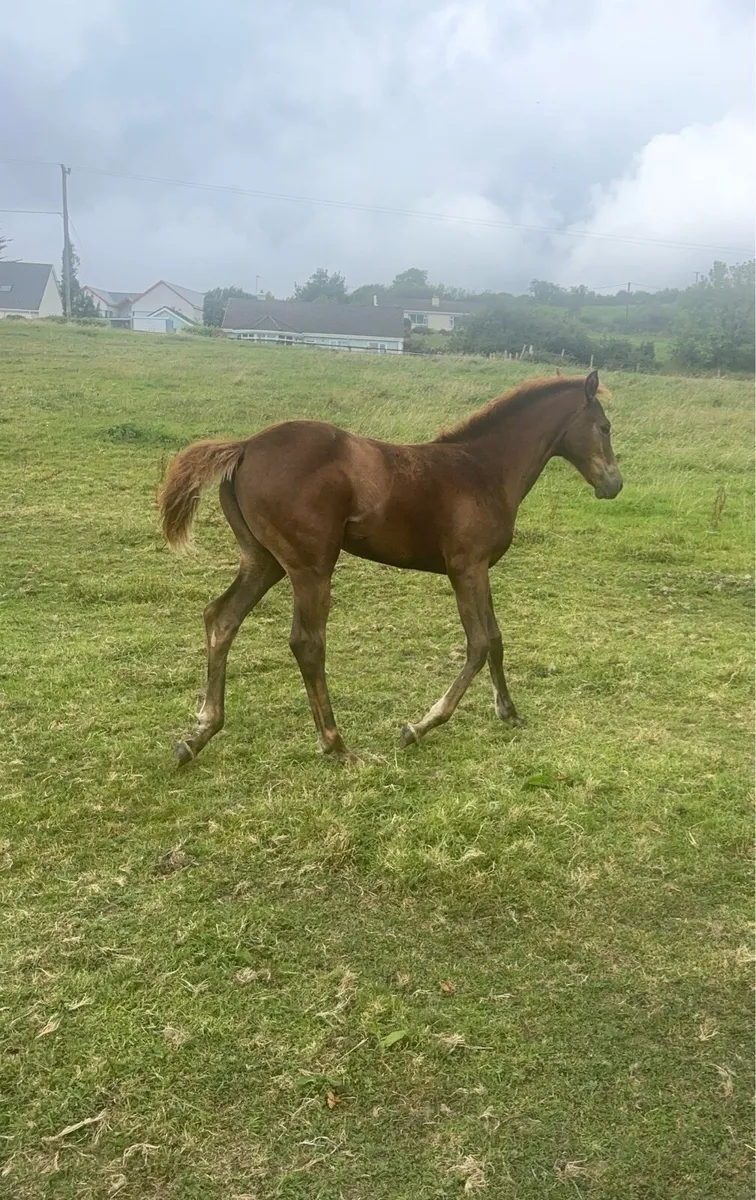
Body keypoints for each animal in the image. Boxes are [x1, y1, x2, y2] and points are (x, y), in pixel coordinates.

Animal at [158, 369, 622, 765]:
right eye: (604, 427)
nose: (614, 485)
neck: (483, 469)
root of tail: (245, 447)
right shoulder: (467, 568)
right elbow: (479, 643)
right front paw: (419, 726)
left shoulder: (480, 569)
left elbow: (495, 638)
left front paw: (508, 712)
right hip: (310, 567)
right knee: (306, 642)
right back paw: (336, 744)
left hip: (264, 561)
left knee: (221, 617)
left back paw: (197, 735)